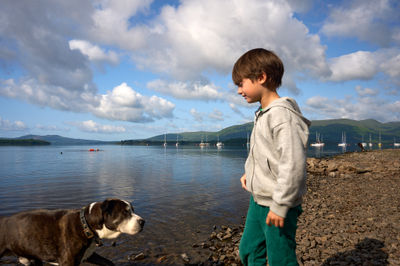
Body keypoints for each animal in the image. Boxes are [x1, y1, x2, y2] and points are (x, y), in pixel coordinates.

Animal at [0, 198, 144, 264]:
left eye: (132, 210)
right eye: (125, 212)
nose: (143, 221)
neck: (86, 224)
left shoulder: (89, 255)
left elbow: (108, 262)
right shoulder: (68, 262)